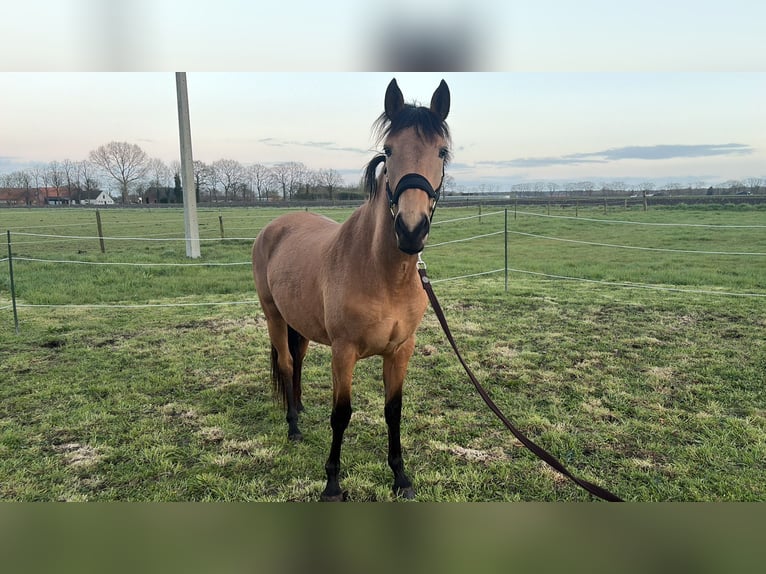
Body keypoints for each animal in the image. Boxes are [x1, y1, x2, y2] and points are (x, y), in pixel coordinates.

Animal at [252, 78, 451, 501]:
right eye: (389, 149)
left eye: (441, 151)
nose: (411, 230)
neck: (383, 274)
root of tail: (275, 227)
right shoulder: (343, 352)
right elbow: (341, 414)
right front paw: (331, 483)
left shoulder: (400, 350)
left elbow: (394, 411)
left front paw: (400, 477)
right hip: (274, 316)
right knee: (287, 362)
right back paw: (293, 427)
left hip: (300, 324)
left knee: (297, 361)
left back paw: (300, 409)